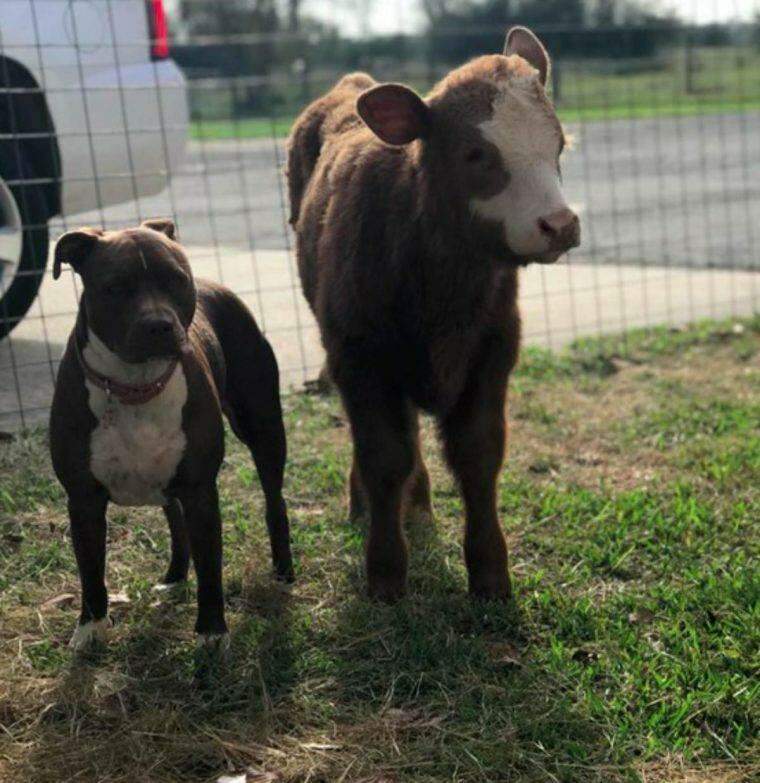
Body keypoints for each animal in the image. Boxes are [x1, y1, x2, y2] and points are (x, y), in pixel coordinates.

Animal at [49, 219, 294, 648]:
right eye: (115, 286)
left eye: (176, 279)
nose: (159, 325)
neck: (135, 386)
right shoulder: (83, 499)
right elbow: (90, 569)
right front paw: (91, 627)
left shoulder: (200, 491)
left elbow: (211, 568)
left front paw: (211, 631)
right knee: (174, 520)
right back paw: (176, 575)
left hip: (263, 428)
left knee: (273, 500)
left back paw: (283, 572)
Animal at [288, 24, 580, 600]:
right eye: (474, 153)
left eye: (558, 143)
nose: (560, 225)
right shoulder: (358, 357)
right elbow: (382, 456)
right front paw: (385, 574)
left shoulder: (493, 351)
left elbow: (478, 455)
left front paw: (491, 574)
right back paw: (366, 503)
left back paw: (419, 504)